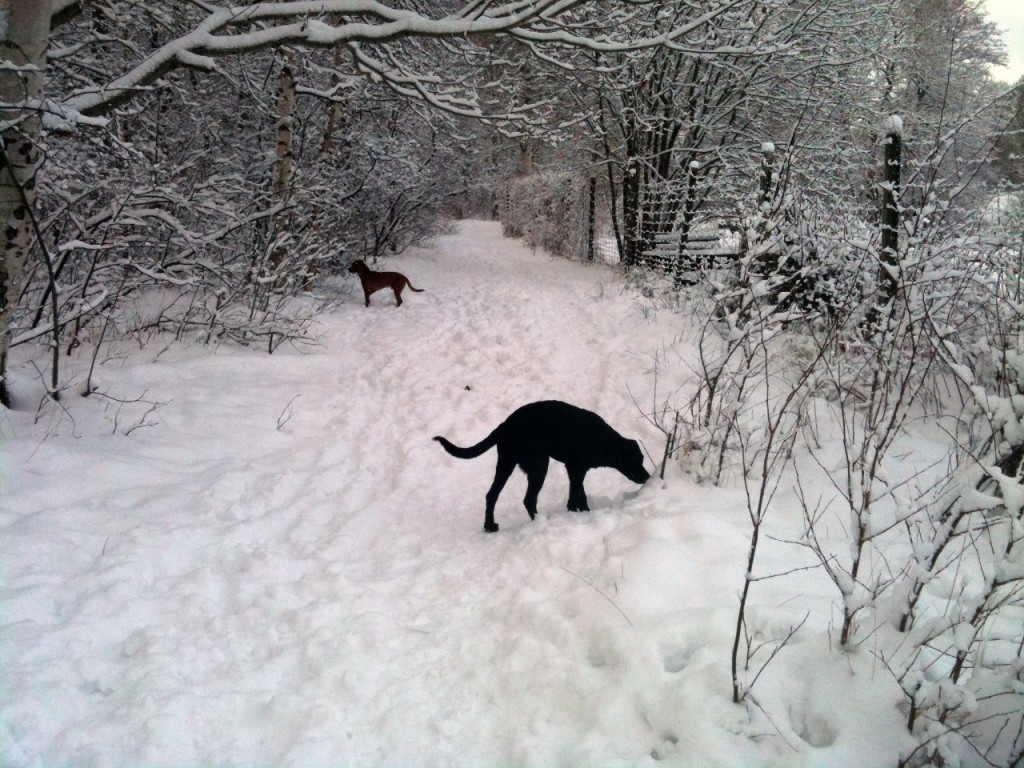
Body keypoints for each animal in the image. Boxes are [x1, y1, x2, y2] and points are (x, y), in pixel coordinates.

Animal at [432, 399, 647, 532]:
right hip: (539, 465)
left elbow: (581, 494)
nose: (647, 476)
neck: (602, 439)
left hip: (507, 464)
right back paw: (541, 522)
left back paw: (490, 526)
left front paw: (585, 512)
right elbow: (574, 496)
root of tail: (504, 425)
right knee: (528, 499)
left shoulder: (577, 470)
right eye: (637, 460)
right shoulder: (575, 468)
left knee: (492, 495)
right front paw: (575, 515)